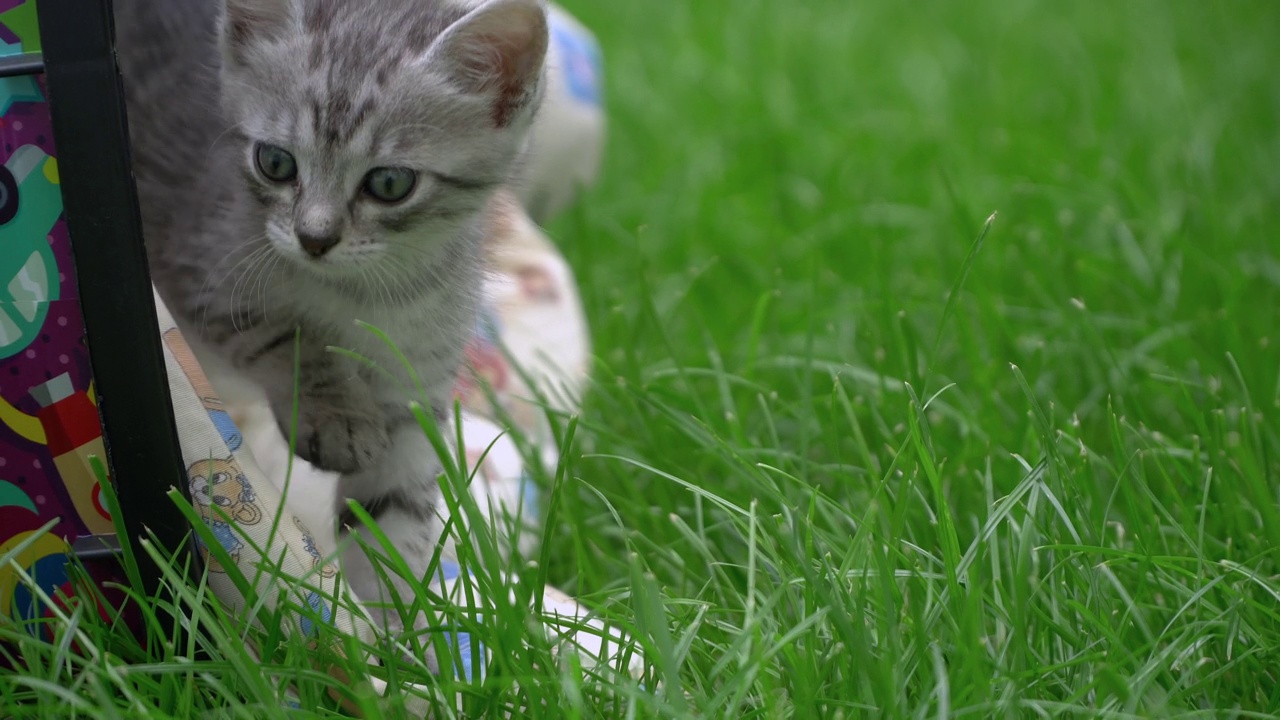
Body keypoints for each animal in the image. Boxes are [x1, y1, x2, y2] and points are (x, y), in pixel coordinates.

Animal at [111, 0, 545, 627]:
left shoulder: (416, 387)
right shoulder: (198, 266)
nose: (314, 238)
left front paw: (398, 633)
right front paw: (337, 412)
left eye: (390, 182)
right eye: (274, 162)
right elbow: (285, 334)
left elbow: (392, 515)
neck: (365, 294)